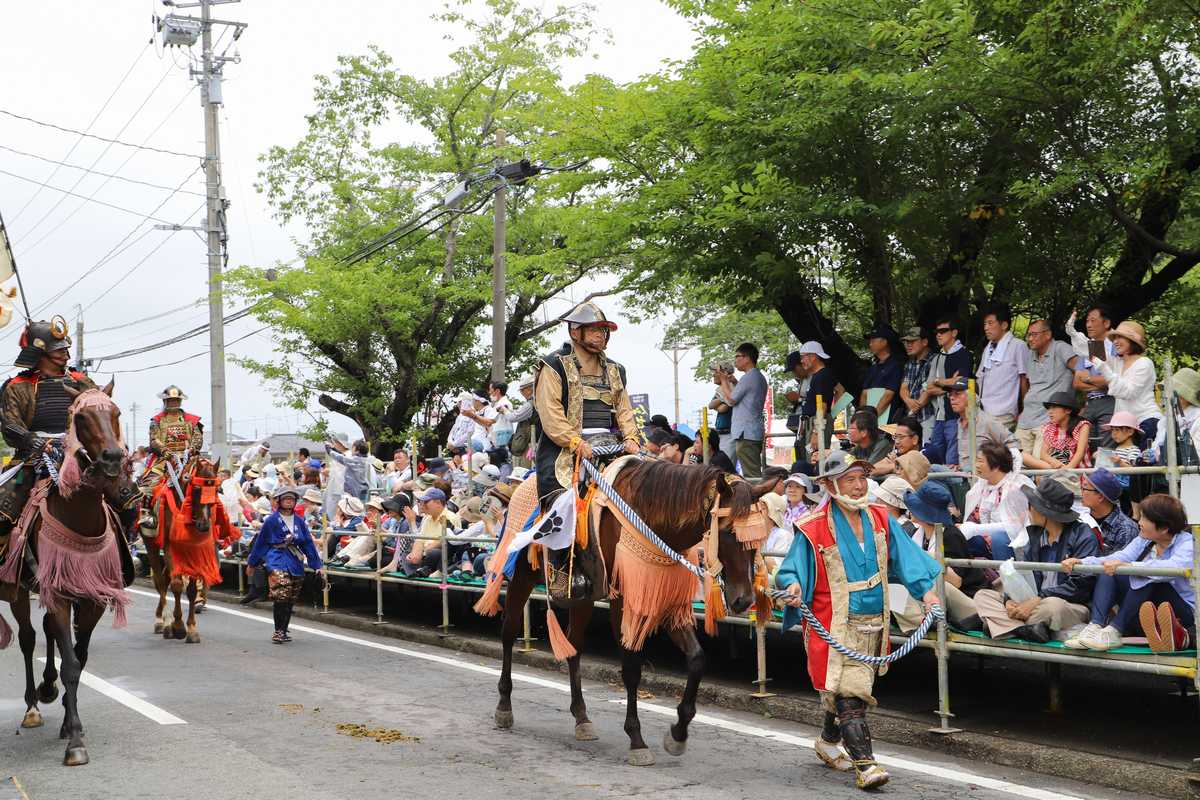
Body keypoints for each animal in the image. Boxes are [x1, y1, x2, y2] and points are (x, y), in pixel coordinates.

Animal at [0, 383, 130, 767]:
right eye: (82, 417)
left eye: (116, 413)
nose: (112, 457)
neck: (80, 514)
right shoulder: (56, 592)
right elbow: (70, 663)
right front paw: (74, 740)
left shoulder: (91, 596)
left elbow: (79, 657)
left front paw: (69, 723)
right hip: (17, 589)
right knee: (29, 638)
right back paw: (32, 705)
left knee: (47, 633)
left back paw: (47, 688)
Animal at [142, 455, 223, 642]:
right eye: (197, 489)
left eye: (217, 489)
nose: (204, 525)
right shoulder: (170, 546)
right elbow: (177, 585)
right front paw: (178, 626)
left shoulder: (195, 550)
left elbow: (191, 590)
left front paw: (191, 629)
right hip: (151, 544)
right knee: (160, 581)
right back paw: (163, 622)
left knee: (165, 579)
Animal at [492, 460, 772, 767]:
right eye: (728, 532)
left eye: (759, 538)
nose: (744, 600)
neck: (650, 519)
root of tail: (521, 485)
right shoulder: (623, 601)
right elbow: (631, 667)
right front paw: (637, 740)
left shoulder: (665, 599)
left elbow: (697, 658)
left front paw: (678, 734)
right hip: (522, 574)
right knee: (508, 632)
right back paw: (504, 706)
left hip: (583, 598)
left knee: (573, 646)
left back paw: (582, 717)